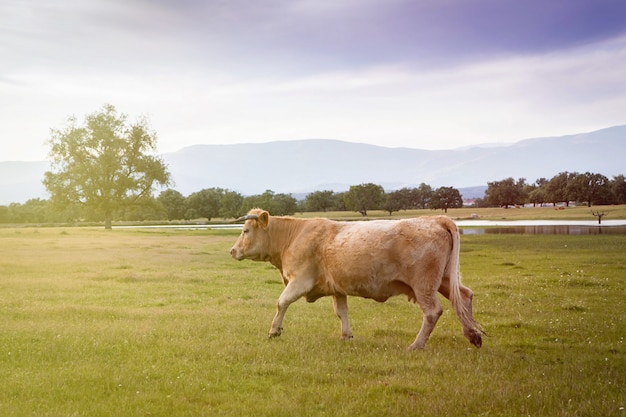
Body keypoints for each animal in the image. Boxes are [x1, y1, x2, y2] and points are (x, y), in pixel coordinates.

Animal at [229, 208, 482, 348]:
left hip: (424, 285)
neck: (292, 236)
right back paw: (473, 336)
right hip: (445, 280)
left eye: (245, 231)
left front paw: (274, 330)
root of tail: (435, 219)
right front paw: (346, 336)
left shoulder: (300, 280)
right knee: (464, 296)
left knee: (432, 312)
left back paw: (416, 345)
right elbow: (341, 312)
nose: (232, 251)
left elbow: (281, 302)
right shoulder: (337, 288)